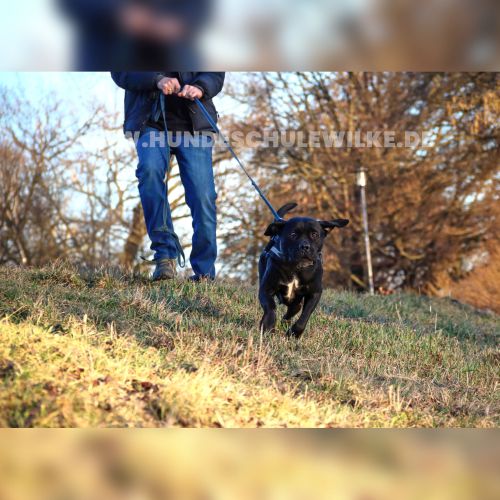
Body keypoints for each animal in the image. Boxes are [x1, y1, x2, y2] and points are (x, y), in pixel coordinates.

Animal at [258, 203, 349, 338]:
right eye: (293, 234)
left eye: (315, 234)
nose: (305, 246)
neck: (296, 268)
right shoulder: (266, 289)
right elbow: (270, 307)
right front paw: (268, 326)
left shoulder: (314, 293)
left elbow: (305, 316)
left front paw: (294, 333)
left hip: (296, 303)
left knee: (291, 312)